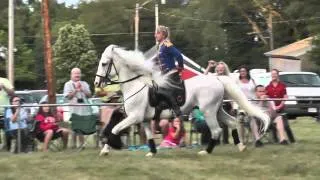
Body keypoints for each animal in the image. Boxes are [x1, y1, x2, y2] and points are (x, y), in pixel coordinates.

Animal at [94, 44, 268, 156]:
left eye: (104, 63)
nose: (96, 83)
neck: (136, 85)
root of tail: (217, 78)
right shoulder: (144, 119)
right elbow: (149, 136)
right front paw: (152, 152)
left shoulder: (133, 117)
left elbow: (114, 129)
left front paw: (104, 150)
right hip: (217, 109)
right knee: (232, 123)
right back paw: (241, 147)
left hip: (208, 111)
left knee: (217, 130)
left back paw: (206, 151)